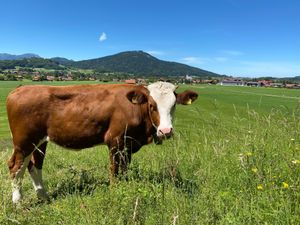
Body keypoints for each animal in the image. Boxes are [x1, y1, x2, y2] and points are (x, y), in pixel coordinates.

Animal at [5, 81, 198, 204]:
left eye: (174, 105)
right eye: (152, 105)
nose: (166, 131)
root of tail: (19, 89)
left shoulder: (128, 146)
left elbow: (124, 170)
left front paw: (123, 187)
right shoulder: (115, 141)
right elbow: (114, 170)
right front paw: (115, 192)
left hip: (40, 141)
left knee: (34, 165)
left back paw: (43, 196)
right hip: (24, 142)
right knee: (15, 166)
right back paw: (18, 202)